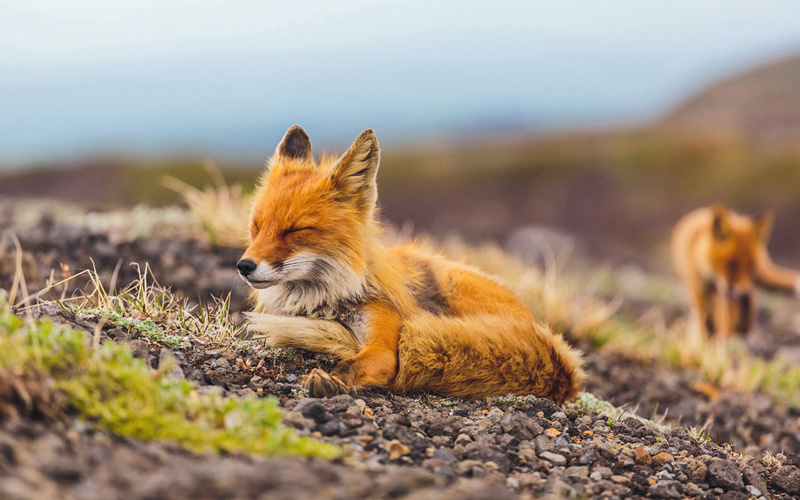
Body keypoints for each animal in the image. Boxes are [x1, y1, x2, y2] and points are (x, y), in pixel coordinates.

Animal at [234, 125, 584, 402]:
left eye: (295, 230)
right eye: (256, 226)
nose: (244, 265)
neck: (323, 302)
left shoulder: (385, 346)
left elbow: (353, 364)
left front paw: (331, 380)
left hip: (454, 286)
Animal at [668, 204, 800, 340]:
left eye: (751, 267)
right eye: (731, 265)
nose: (741, 291)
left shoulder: (728, 296)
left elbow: (726, 323)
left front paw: (721, 342)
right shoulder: (699, 290)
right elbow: (703, 319)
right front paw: (703, 339)